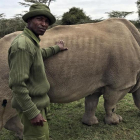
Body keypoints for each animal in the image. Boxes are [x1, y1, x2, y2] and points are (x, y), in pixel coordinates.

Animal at [0, 18, 140, 138]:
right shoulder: (119, 85)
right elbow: (111, 104)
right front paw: (115, 121)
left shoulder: (94, 82)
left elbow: (91, 102)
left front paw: (90, 123)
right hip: (7, 68)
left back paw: (23, 134)